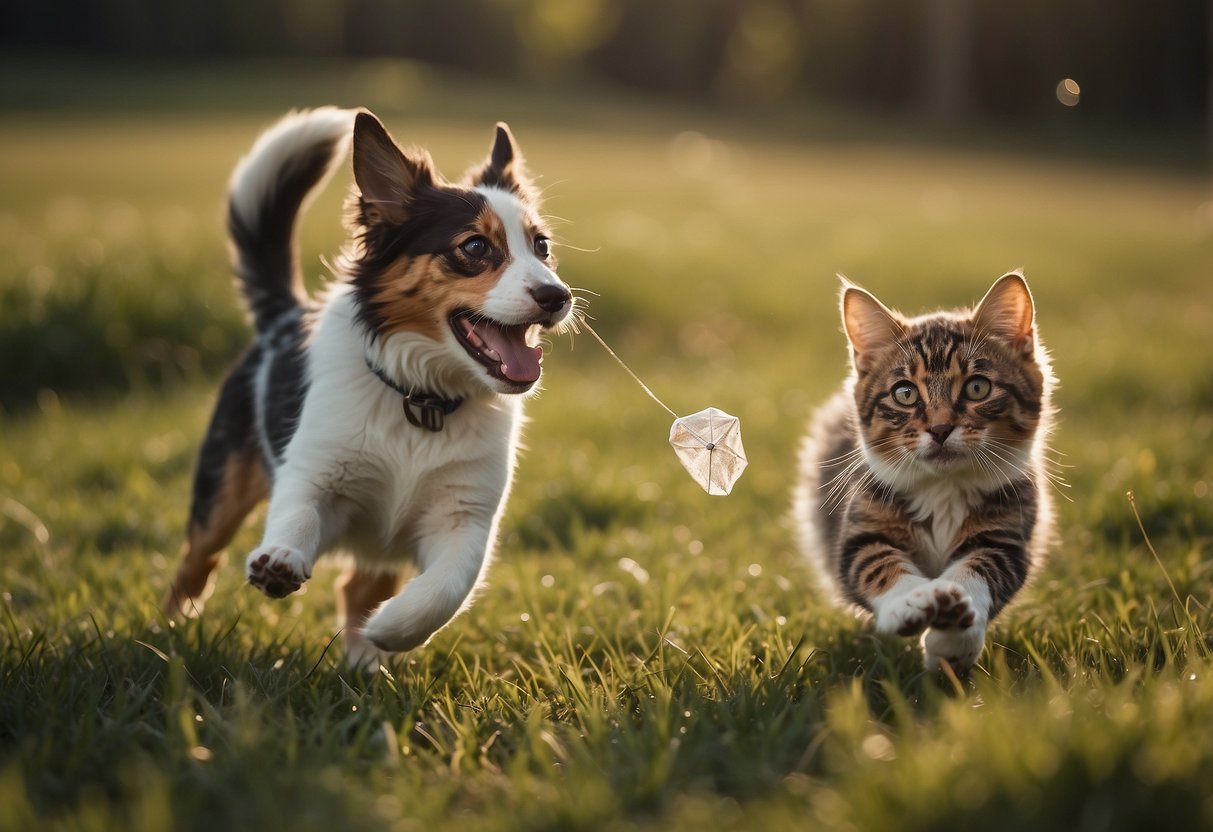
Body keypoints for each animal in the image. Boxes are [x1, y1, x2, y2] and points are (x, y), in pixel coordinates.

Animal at [795, 274, 1052, 669]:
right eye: (904, 394)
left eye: (978, 387)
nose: (941, 428)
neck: (943, 489)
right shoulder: (860, 528)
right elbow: (875, 561)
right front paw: (911, 601)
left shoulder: (1008, 533)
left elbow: (980, 568)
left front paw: (954, 637)